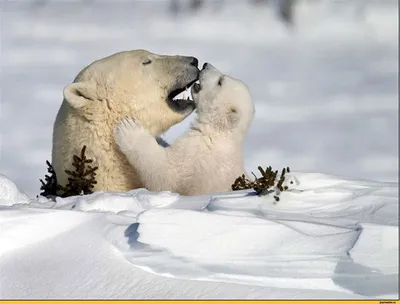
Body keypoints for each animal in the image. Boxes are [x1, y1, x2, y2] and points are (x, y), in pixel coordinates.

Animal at [114, 63, 255, 196]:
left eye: (220, 81)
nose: (205, 65)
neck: (217, 132)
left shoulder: (195, 155)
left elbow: (166, 174)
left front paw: (128, 127)